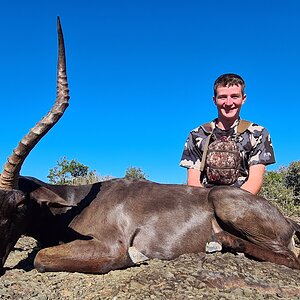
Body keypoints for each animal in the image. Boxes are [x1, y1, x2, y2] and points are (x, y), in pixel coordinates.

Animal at [0, 17, 300, 274]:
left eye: (18, 206)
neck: (74, 204)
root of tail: (287, 221)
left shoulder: (109, 245)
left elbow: (40, 257)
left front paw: (135, 256)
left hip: (223, 200)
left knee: (290, 259)